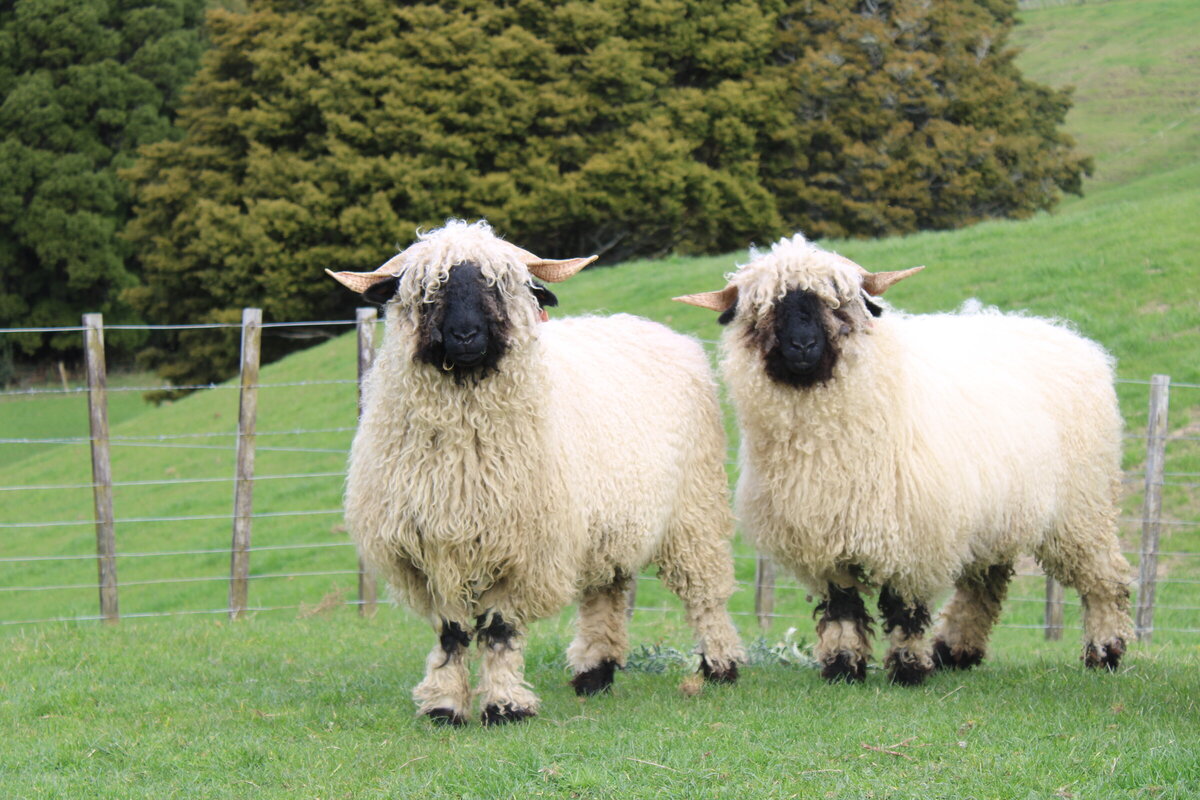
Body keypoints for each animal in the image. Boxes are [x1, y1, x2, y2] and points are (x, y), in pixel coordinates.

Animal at [328, 219, 739, 724]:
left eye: (498, 285)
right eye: (427, 289)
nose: (465, 336)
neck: (464, 452)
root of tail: (647, 326)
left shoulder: (523, 547)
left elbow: (499, 629)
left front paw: (505, 705)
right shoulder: (431, 549)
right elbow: (451, 632)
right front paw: (445, 705)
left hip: (694, 511)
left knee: (705, 593)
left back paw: (721, 667)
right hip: (610, 523)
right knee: (606, 593)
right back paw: (594, 675)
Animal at [676, 232, 1132, 690]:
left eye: (838, 302)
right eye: (765, 308)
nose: (802, 346)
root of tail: (1072, 338)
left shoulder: (915, 533)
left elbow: (904, 608)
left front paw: (907, 668)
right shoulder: (824, 536)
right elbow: (842, 608)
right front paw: (843, 667)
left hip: (1082, 506)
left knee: (1104, 578)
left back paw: (1105, 652)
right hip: (1000, 512)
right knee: (985, 584)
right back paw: (955, 650)